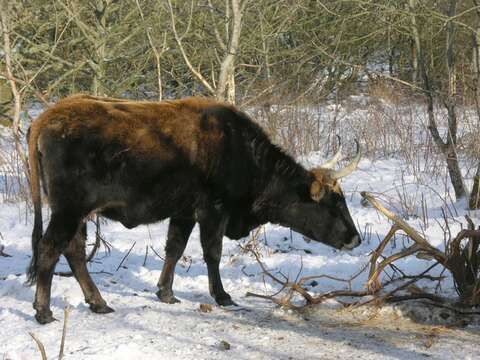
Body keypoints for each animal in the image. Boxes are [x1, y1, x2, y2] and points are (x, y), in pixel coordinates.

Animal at [26, 95, 362, 324]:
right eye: (335, 203)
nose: (355, 238)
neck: (242, 152)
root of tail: (49, 116)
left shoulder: (184, 212)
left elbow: (174, 249)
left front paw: (165, 292)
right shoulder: (213, 211)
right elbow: (212, 253)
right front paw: (222, 295)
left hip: (78, 214)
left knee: (74, 252)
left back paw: (98, 302)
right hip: (69, 210)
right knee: (49, 248)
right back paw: (44, 311)